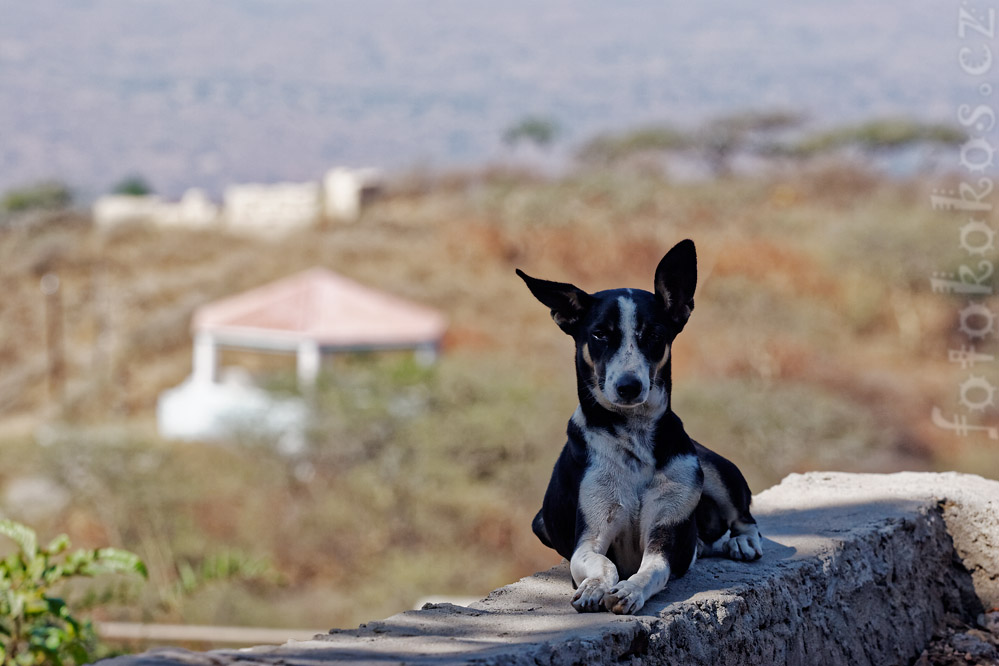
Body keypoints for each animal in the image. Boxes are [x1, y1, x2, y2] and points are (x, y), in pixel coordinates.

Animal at [520, 237, 760, 612]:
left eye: (654, 334)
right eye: (599, 334)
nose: (629, 386)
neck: (632, 435)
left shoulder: (666, 532)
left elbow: (653, 570)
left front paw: (630, 591)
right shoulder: (590, 535)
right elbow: (603, 564)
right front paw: (594, 587)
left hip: (708, 467)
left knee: (743, 518)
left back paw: (742, 542)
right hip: (541, 522)